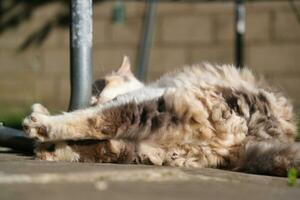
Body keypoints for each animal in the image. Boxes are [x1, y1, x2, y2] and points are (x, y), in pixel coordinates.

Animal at [22, 55, 298, 177]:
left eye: (98, 88)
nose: (92, 100)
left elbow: (89, 121)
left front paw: (44, 134)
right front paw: (52, 149)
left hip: (153, 106)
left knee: (99, 121)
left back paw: (40, 124)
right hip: (156, 148)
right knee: (108, 147)